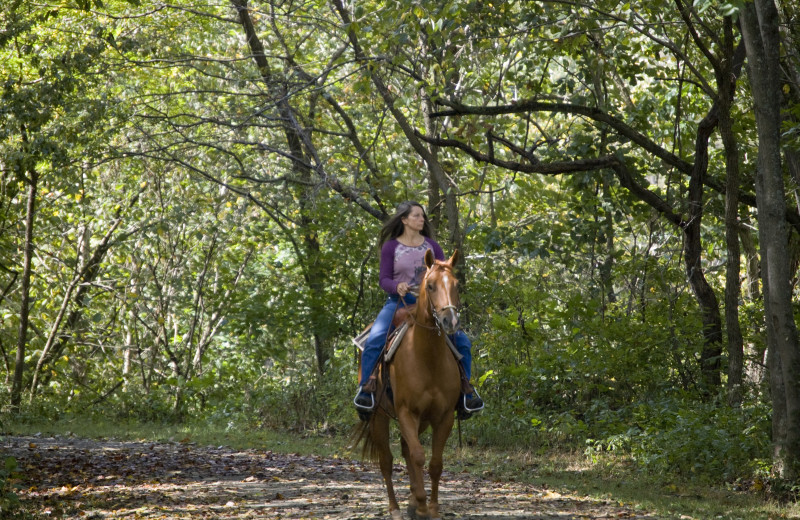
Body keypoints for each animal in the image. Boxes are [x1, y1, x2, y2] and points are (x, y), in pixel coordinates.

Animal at [356, 248, 462, 520]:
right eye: (431, 285)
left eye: (456, 284)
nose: (449, 321)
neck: (427, 357)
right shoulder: (406, 412)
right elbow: (417, 456)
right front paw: (423, 505)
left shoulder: (443, 416)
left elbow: (434, 463)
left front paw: (430, 508)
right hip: (379, 417)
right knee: (387, 460)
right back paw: (395, 508)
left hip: (420, 420)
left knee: (405, 449)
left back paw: (412, 502)